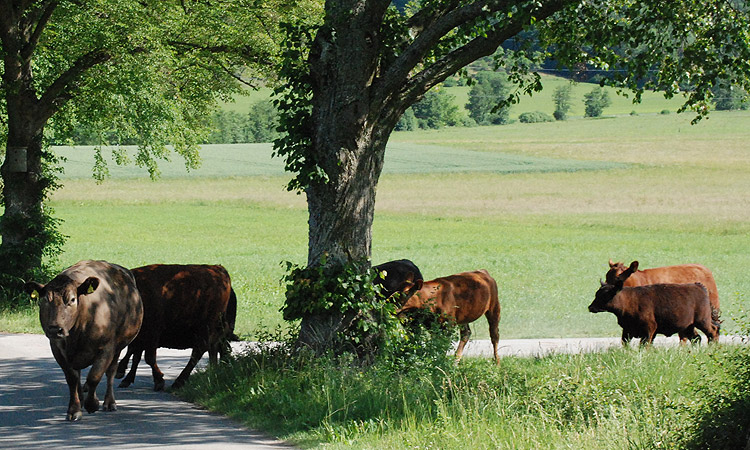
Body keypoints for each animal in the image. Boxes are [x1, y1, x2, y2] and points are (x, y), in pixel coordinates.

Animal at [25, 260, 144, 422]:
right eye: (44, 300)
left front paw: (92, 404)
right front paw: (74, 409)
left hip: (118, 347)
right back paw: (81, 399)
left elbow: (94, 376)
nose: (55, 329)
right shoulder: (57, 348)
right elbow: (72, 379)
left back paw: (109, 402)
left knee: (110, 372)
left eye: (72, 299)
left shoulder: (107, 348)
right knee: (79, 375)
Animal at [592, 264, 724, 344]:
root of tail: (699, 286)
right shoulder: (627, 330)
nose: (590, 307)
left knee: (712, 332)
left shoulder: (649, 330)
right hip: (689, 326)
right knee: (696, 338)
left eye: (605, 295)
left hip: (702, 321)